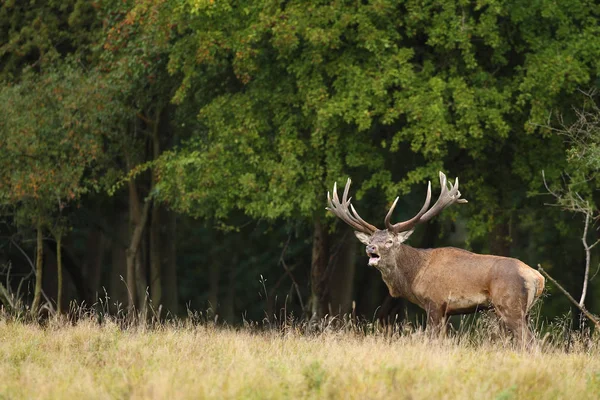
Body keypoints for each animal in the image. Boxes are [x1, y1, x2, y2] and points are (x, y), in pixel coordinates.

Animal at [326, 170, 548, 346]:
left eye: (389, 241)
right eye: (370, 240)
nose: (370, 248)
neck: (414, 276)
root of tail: (537, 278)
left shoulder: (435, 302)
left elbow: (432, 340)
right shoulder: (446, 311)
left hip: (510, 306)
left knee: (529, 342)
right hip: (523, 311)